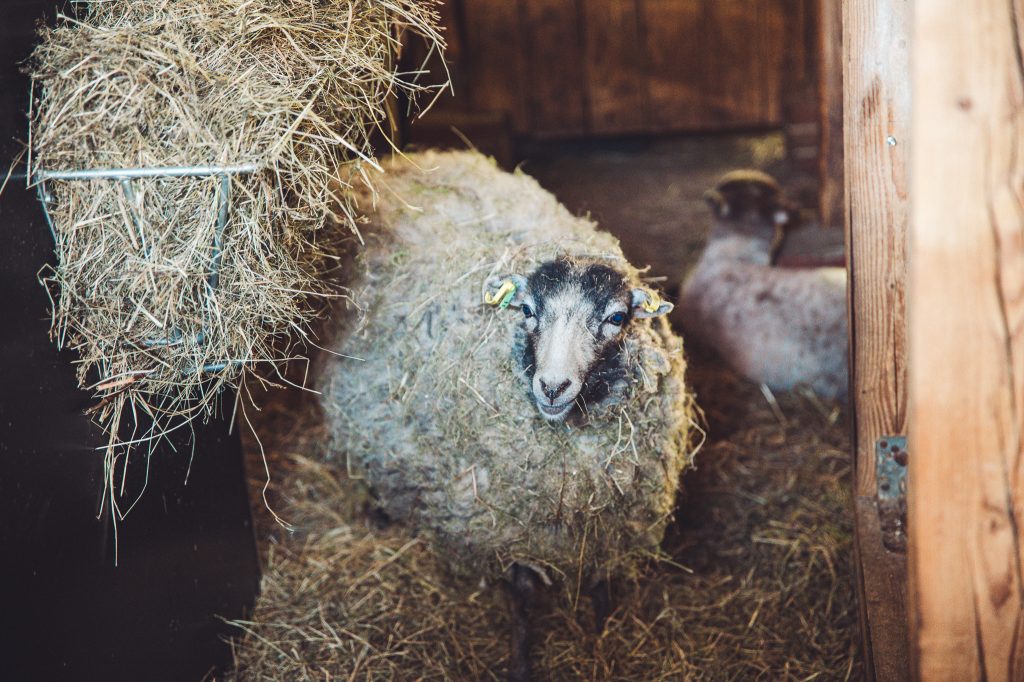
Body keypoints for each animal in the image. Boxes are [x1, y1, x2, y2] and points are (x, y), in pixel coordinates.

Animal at [314, 150, 697, 680]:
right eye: (528, 311)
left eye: (617, 318)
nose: (552, 386)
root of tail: (391, 163)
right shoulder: (506, 529)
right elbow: (520, 600)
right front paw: (520, 662)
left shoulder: (609, 522)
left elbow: (601, 587)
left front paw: (602, 638)